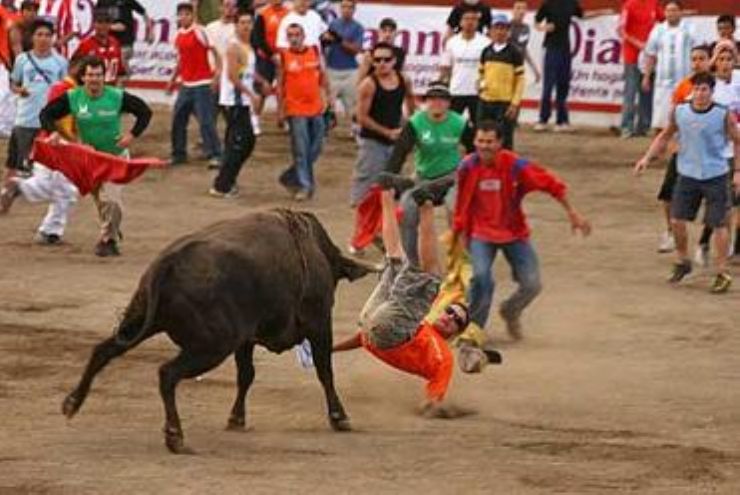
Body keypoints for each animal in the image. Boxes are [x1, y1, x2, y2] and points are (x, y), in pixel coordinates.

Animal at [62, 209, 372, 454]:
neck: (312, 249)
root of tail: (169, 261)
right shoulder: (320, 325)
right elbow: (325, 370)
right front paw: (339, 417)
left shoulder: (246, 340)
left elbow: (246, 375)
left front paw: (236, 419)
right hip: (213, 347)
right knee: (167, 373)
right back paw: (175, 437)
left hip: (141, 321)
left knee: (103, 350)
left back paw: (72, 403)